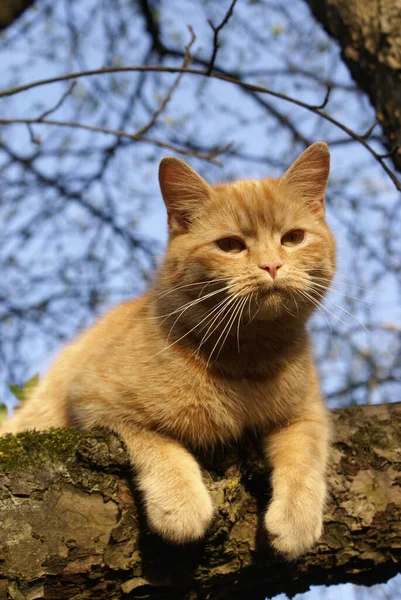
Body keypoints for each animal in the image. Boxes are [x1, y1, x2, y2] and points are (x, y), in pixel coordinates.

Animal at [1, 143, 336, 560]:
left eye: (293, 238)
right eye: (230, 245)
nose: (271, 265)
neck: (247, 357)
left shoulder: (308, 413)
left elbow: (305, 455)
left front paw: (296, 519)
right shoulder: (94, 401)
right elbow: (159, 444)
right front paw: (181, 506)